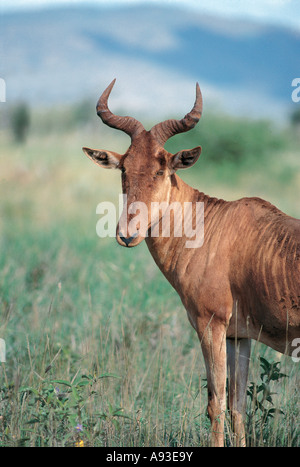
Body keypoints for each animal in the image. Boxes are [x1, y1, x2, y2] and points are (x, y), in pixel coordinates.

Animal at [83, 81, 300, 450]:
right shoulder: (238, 336)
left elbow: (215, 404)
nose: (127, 234)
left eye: (162, 169)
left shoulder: (209, 324)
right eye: (125, 168)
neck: (212, 225)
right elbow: (237, 406)